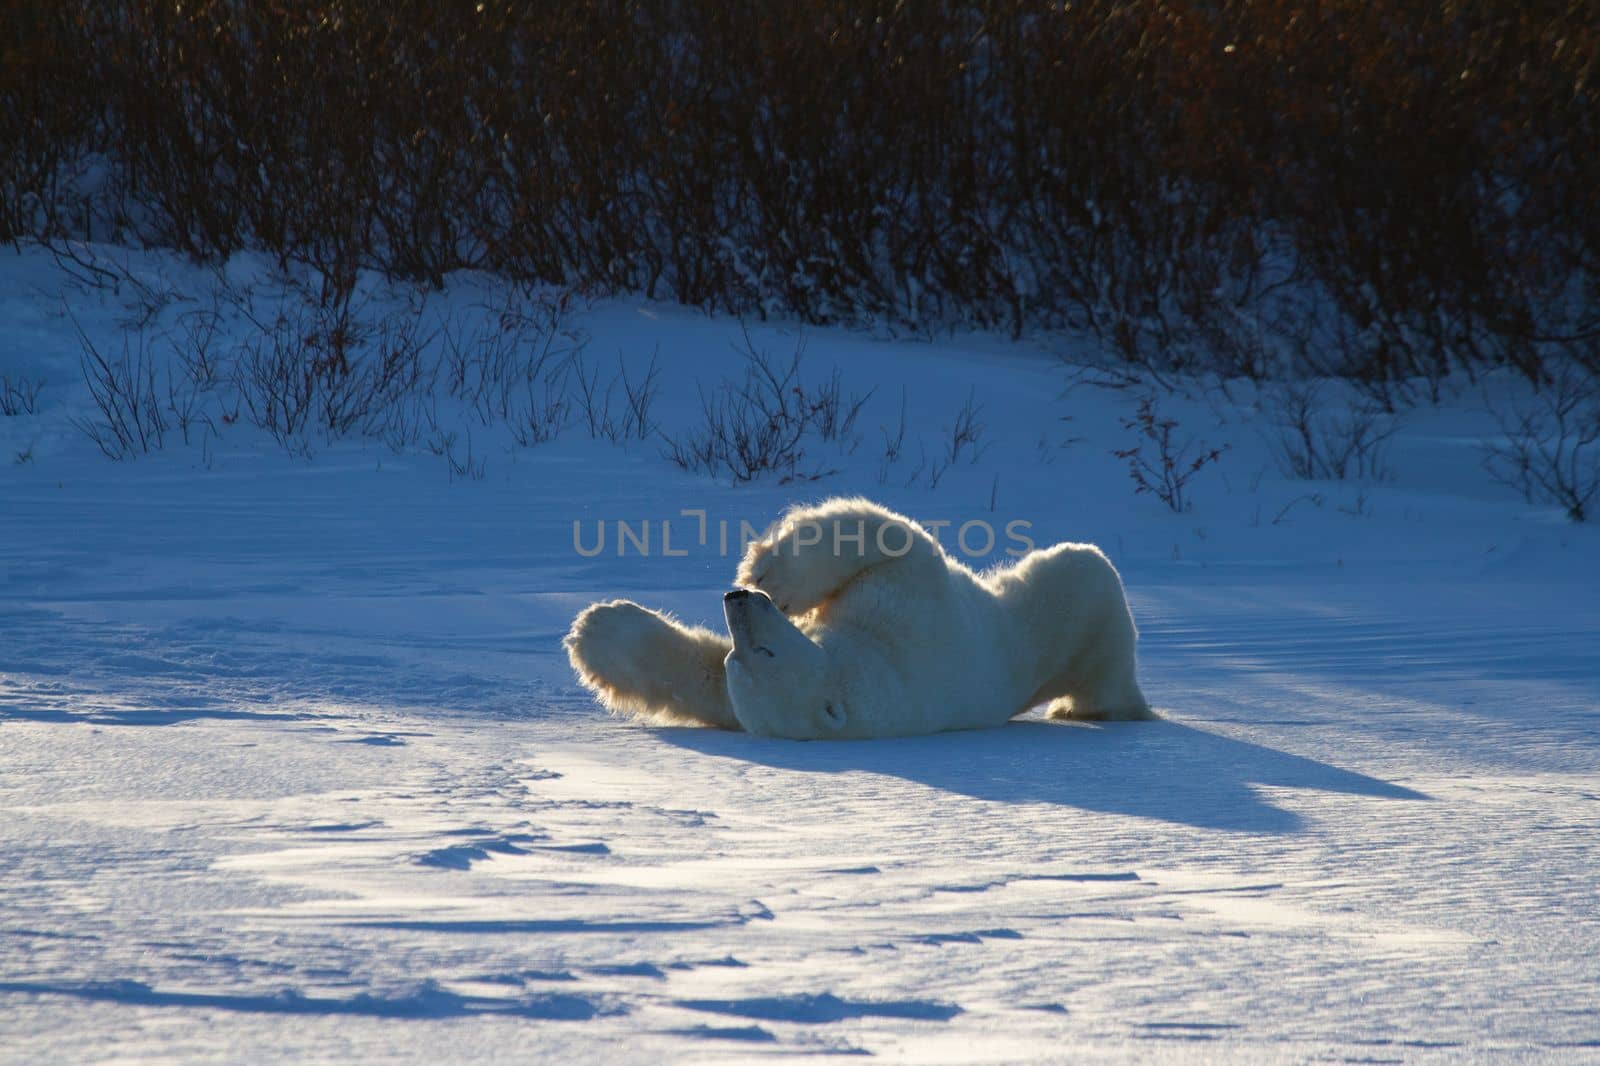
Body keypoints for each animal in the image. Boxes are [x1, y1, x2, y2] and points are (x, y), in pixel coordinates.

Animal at [563, 499, 1152, 739]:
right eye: (742, 657)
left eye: (765, 650)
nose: (738, 598)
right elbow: (700, 683)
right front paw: (597, 633)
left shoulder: (908, 624)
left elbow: (898, 541)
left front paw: (770, 572)